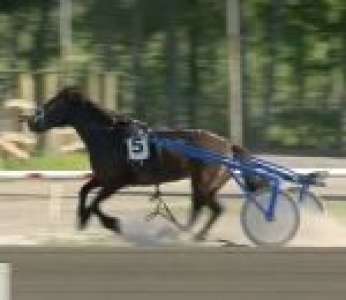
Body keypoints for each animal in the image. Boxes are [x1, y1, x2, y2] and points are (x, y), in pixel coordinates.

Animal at [27, 86, 256, 239]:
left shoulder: (116, 182)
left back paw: (190, 235)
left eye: (54, 103)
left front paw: (111, 223)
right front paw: (82, 219)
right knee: (208, 209)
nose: (31, 121)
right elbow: (84, 191)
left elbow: (95, 203)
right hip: (204, 186)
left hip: (203, 184)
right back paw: (190, 234)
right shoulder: (103, 177)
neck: (109, 136)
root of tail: (227, 144)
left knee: (212, 209)